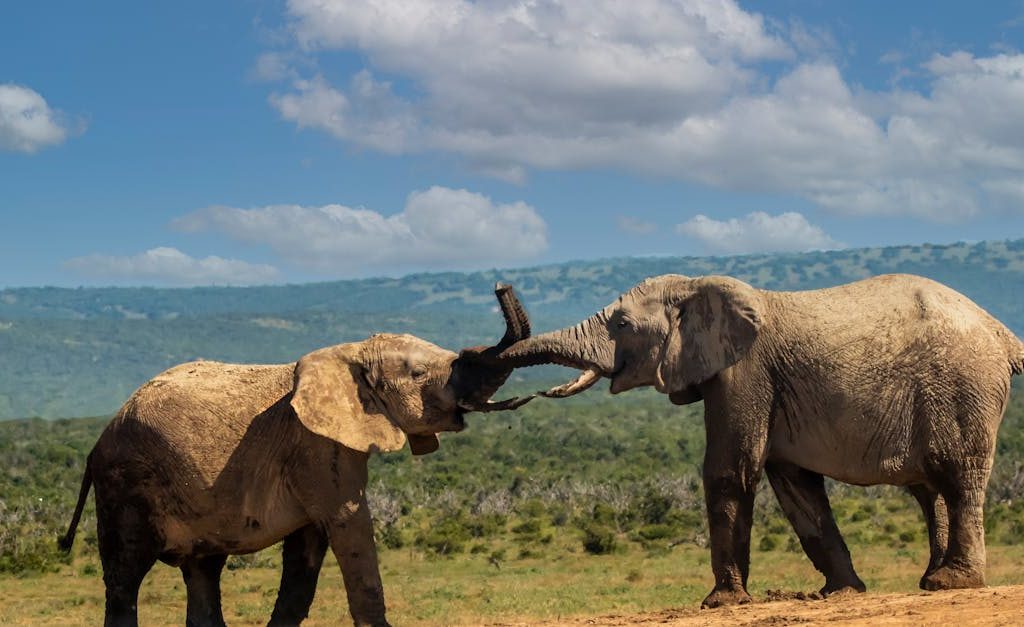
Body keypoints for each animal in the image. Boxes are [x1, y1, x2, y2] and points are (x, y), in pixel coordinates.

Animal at [59, 285, 535, 627]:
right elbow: (349, 527)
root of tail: (98, 441)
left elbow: (306, 554)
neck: (349, 352)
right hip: (126, 484)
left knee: (202, 572)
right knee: (125, 578)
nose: (501, 285)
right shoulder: (315, 447)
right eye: (419, 374)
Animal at [478, 273, 1024, 608]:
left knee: (959, 479)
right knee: (930, 490)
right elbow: (794, 485)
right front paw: (841, 593)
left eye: (623, 324)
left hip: (962, 387)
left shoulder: (745, 374)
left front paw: (719, 603)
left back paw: (954, 583)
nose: (500, 286)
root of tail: (1002, 331)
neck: (697, 287)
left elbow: (731, 469)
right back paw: (931, 583)